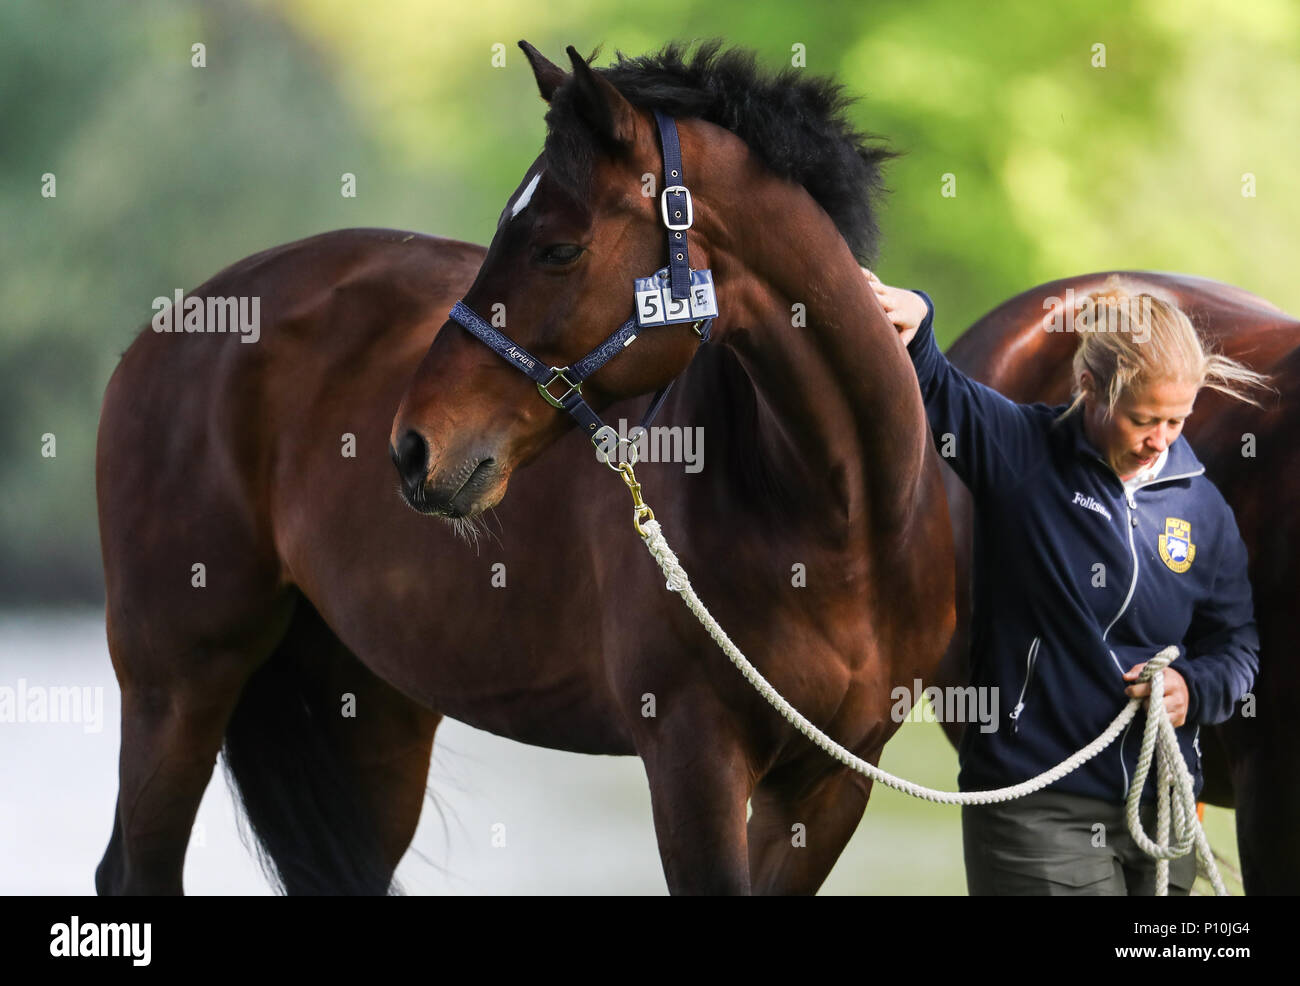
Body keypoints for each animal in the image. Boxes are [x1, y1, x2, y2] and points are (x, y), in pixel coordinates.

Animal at [96, 42, 956, 900]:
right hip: (177, 685)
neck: (841, 523)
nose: (412, 448)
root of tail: (181, 320)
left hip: (368, 706)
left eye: (559, 248)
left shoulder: (833, 780)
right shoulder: (694, 760)